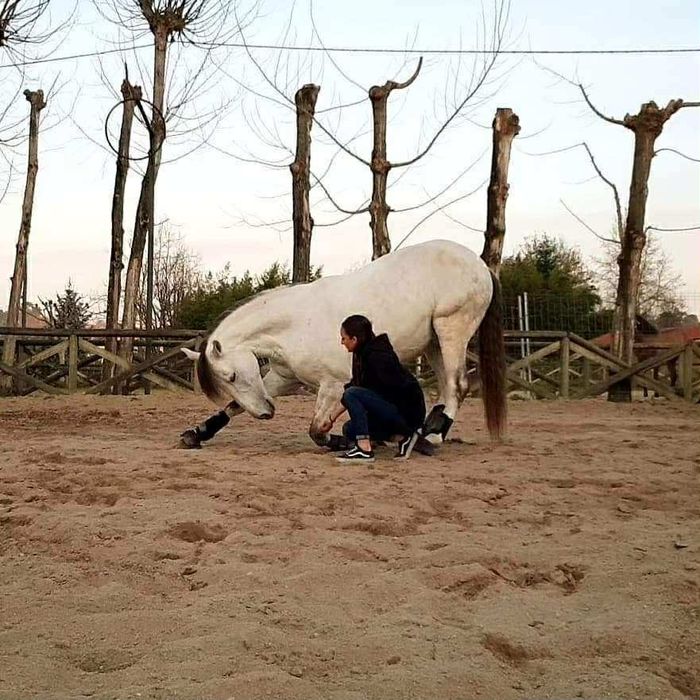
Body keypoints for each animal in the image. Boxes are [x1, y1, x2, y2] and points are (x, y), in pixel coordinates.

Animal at [180, 239, 507, 450]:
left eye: (231, 376)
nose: (266, 412)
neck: (295, 324)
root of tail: (481, 265)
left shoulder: (334, 385)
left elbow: (316, 429)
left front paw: (341, 440)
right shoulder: (283, 378)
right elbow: (233, 407)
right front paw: (196, 433)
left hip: (451, 330)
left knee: (457, 386)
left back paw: (432, 436)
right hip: (434, 343)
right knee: (446, 387)